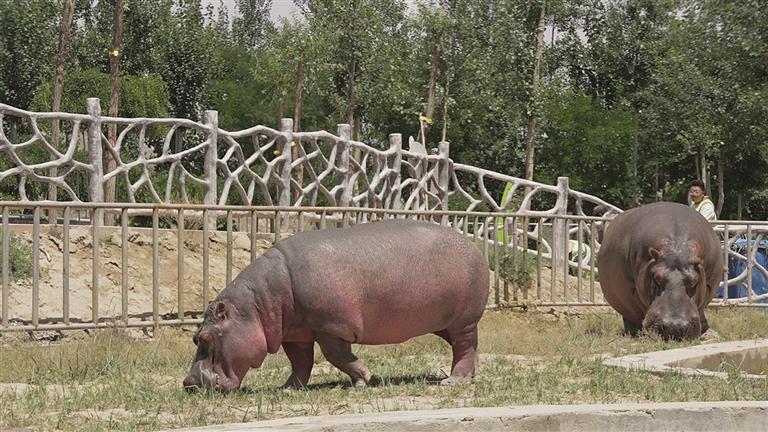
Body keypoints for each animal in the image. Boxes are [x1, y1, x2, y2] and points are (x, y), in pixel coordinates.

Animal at [183, 219, 490, 392]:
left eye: (206, 338)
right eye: (194, 337)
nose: (189, 383)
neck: (257, 304)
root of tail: (472, 244)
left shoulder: (330, 327)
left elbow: (337, 356)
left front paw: (363, 380)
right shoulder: (296, 333)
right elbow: (300, 361)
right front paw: (288, 389)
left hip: (463, 320)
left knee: (465, 347)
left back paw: (452, 382)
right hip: (444, 323)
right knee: (466, 348)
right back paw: (467, 376)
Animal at [597, 202, 723, 340]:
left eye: (694, 282)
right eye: (656, 278)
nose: (675, 327)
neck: (677, 247)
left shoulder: (709, 286)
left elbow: (701, 308)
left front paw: (708, 335)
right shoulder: (634, 289)